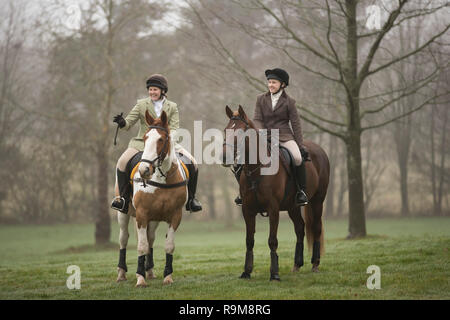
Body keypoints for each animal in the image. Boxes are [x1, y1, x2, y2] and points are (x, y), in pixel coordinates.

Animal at [116, 110, 188, 288]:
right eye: (145, 137)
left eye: (161, 139)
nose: (144, 170)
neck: (162, 179)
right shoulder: (142, 215)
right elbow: (141, 246)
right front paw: (140, 279)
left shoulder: (175, 216)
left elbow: (168, 246)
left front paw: (167, 276)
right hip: (123, 214)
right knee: (124, 239)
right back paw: (121, 273)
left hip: (154, 220)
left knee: (150, 239)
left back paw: (149, 271)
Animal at [222, 105, 330, 280]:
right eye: (226, 130)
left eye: (241, 132)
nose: (224, 156)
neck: (258, 169)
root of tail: (318, 149)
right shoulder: (247, 210)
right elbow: (249, 240)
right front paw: (247, 271)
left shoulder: (273, 209)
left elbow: (272, 240)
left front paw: (274, 273)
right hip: (293, 207)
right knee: (300, 228)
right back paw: (297, 265)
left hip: (317, 201)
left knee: (316, 228)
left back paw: (315, 264)